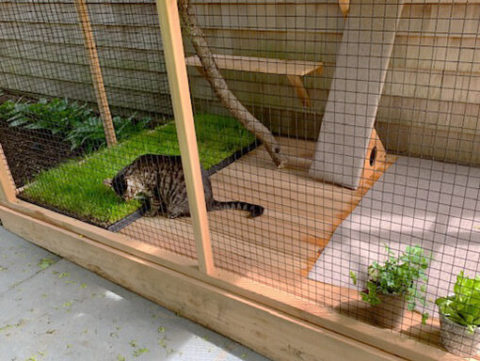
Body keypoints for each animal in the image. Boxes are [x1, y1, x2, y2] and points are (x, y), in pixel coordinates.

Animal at [103, 153, 264, 218]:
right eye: (121, 196)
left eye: (129, 192)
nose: (126, 200)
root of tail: (211, 202)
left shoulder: (155, 192)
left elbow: (154, 204)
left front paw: (150, 212)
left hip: (178, 203)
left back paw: (171, 214)